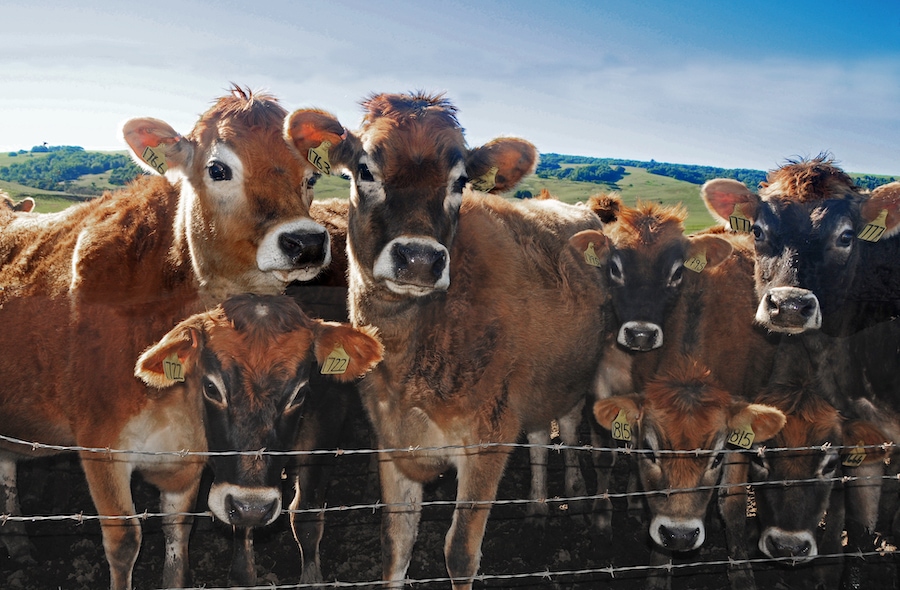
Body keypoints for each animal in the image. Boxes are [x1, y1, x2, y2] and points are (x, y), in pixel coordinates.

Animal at [0, 85, 344, 588]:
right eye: (218, 169)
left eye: (311, 177)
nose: (307, 242)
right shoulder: (101, 448)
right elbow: (124, 542)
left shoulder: (187, 458)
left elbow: (178, 539)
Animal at [288, 90, 620, 588]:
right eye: (365, 170)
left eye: (460, 181)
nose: (419, 258)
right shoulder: (392, 439)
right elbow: (395, 543)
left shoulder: (488, 439)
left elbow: (460, 553)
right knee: (541, 433)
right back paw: (538, 507)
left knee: (583, 430)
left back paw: (591, 503)